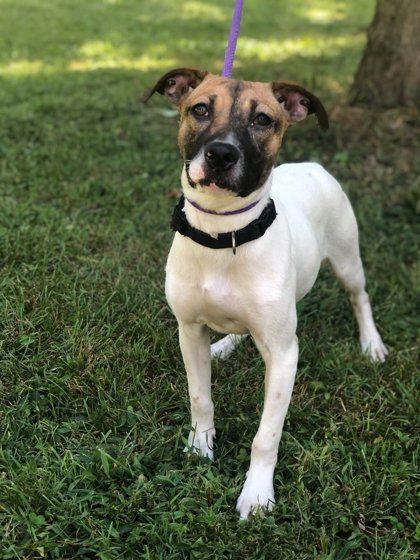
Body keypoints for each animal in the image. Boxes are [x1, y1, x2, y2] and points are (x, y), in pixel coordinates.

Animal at [144, 68, 388, 520]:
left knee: (359, 297)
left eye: (262, 120)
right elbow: (200, 399)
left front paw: (257, 494)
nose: (221, 155)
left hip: (347, 259)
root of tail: (312, 165)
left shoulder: (284, 355)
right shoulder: (189, 330)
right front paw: (199, 447)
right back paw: (226, 346)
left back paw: (371, 343)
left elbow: (266, 435)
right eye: (199, 109)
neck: (223, 234)